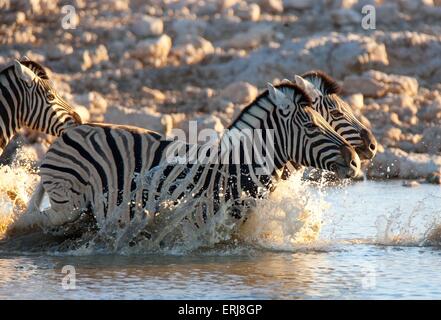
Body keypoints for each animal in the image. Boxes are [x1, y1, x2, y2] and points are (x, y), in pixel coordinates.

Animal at [10, 82, 360, 245]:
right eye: (312, 126)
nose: (356, 160)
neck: (235, 172)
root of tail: (66, 135)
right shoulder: (194, 228)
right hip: (67, 202)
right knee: (38, 223)